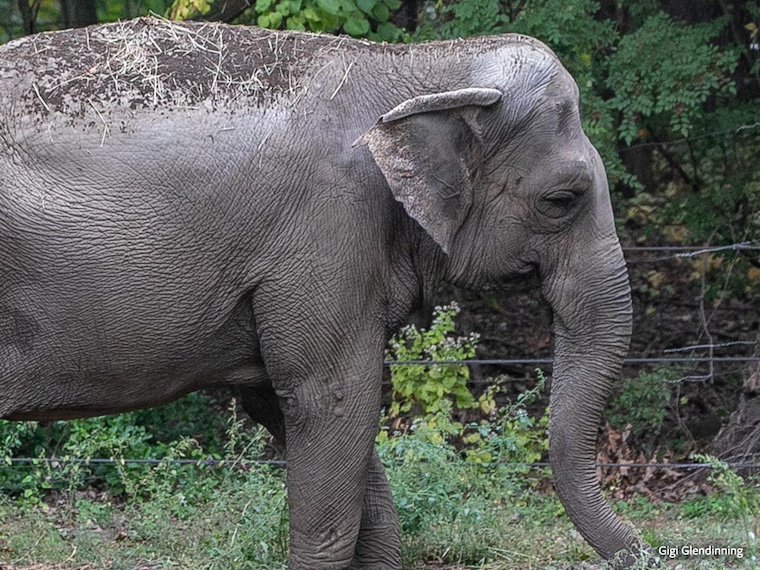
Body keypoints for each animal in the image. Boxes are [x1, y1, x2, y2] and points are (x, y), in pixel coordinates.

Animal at [0, 17, 645, 568]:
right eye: (562, 200)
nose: (644, 550)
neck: (417, 66)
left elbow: (294, 408)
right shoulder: (329, 231)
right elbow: (333, 400)